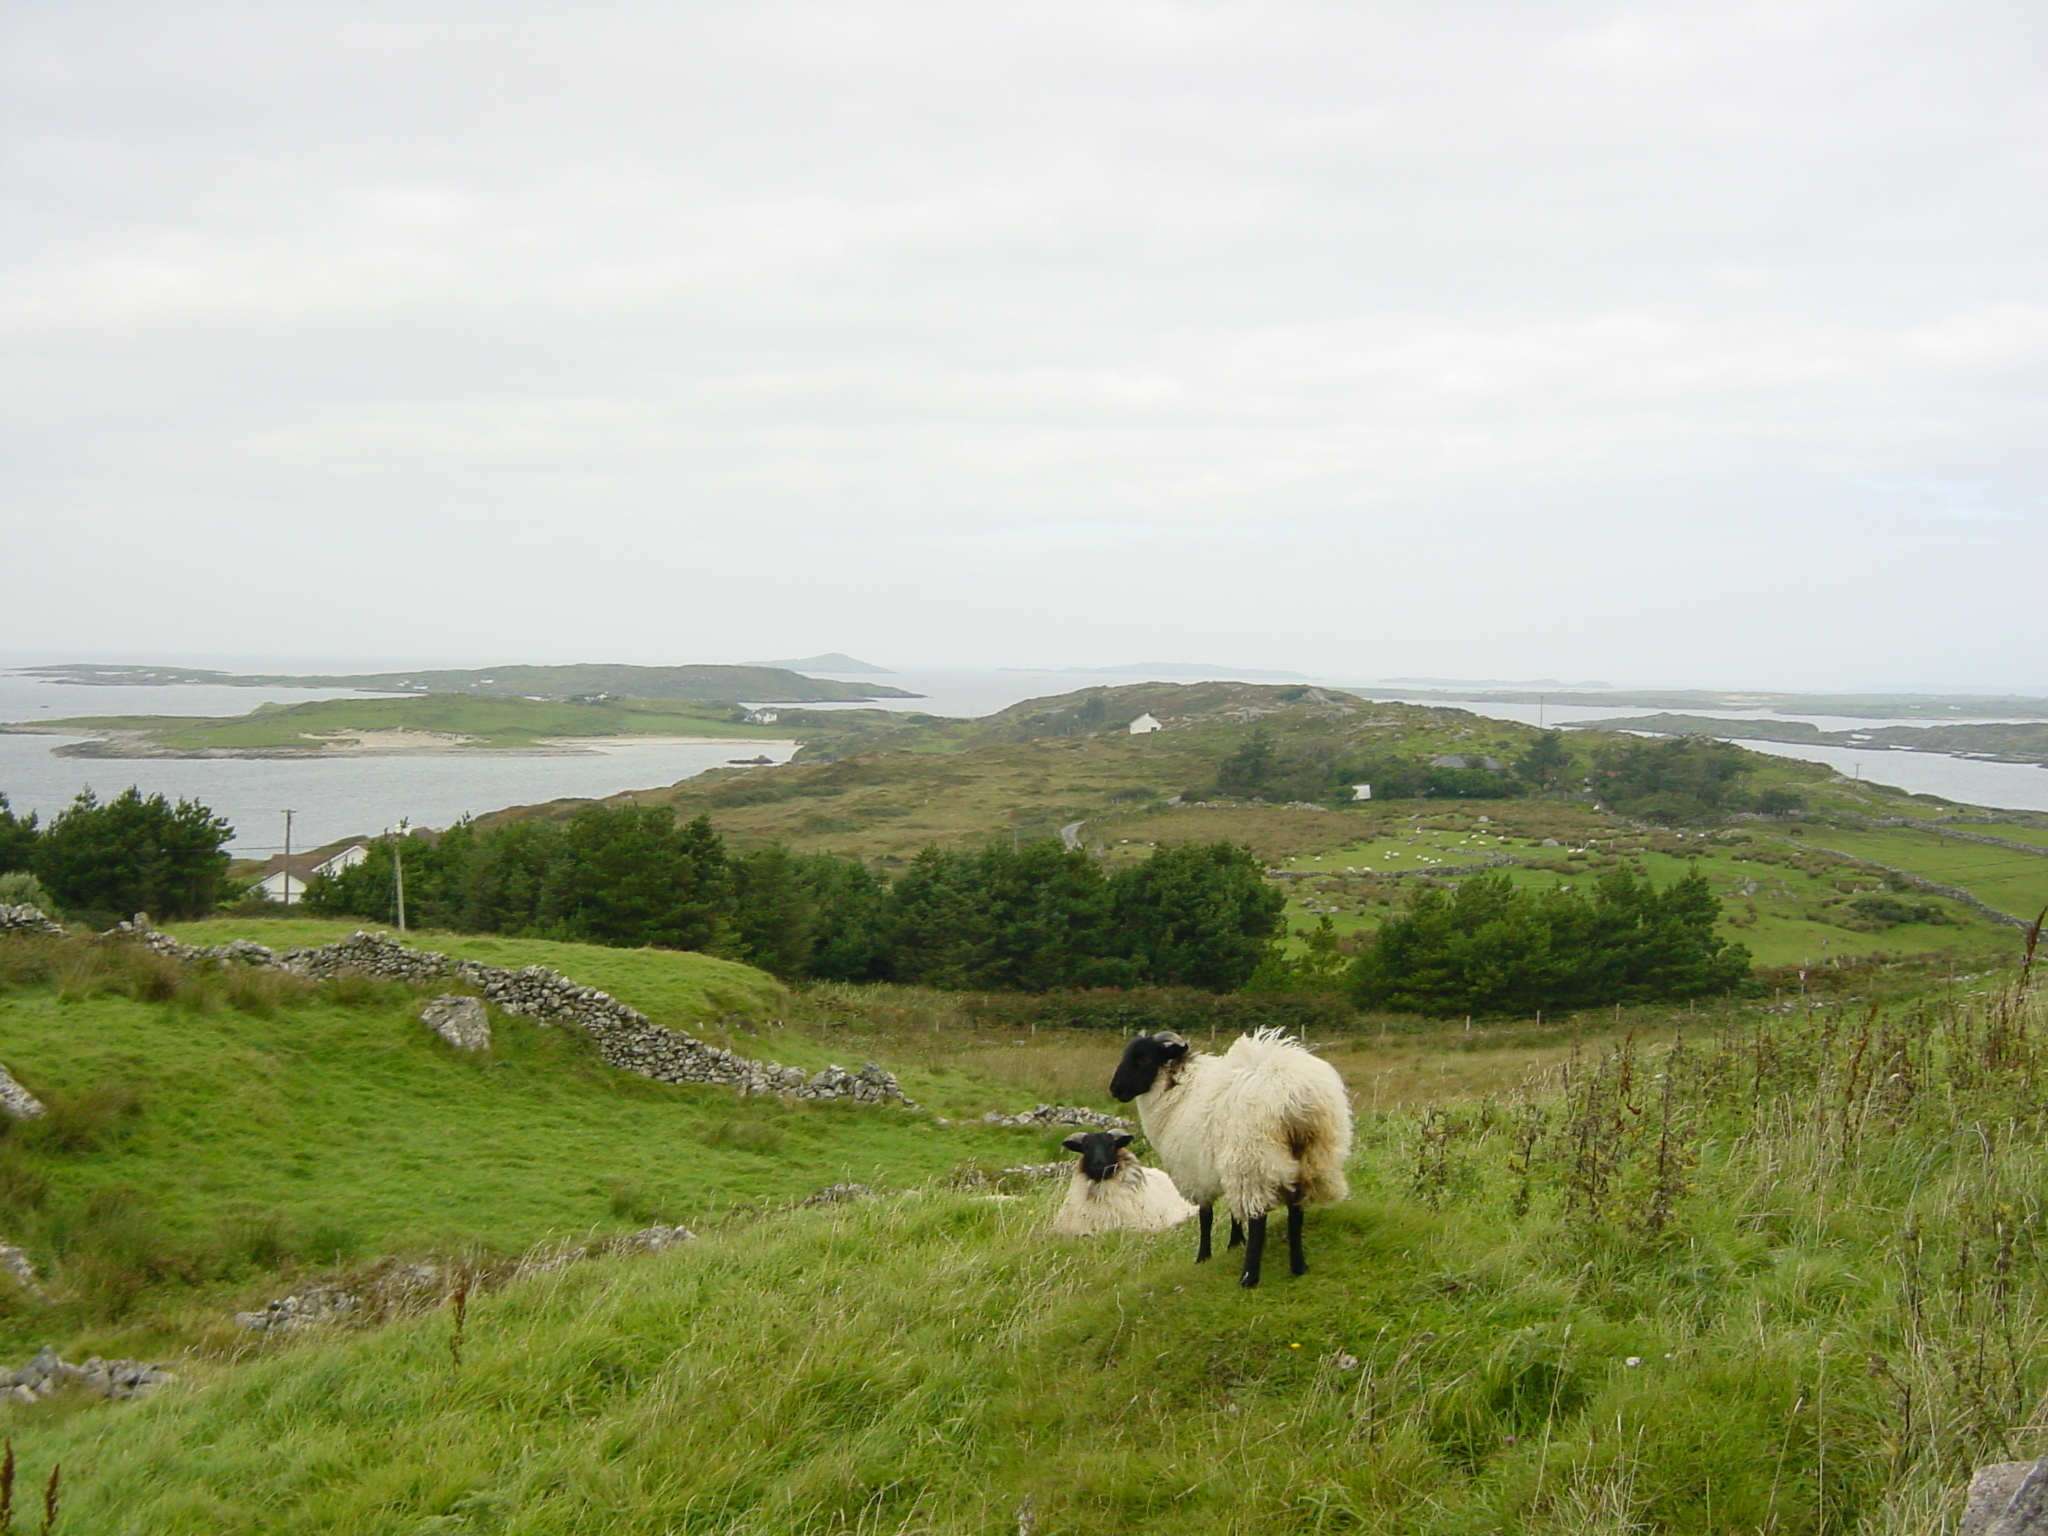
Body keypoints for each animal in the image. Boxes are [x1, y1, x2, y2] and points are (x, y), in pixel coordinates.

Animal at [1114, 1028, 1351, 1294]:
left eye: (1143, 1058)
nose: (1116, 1089)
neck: (1178, 1087)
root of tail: (1294, 1097)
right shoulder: (1223, 1167)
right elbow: (1232, 1210)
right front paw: (1235, 1243)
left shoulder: (1195, 1170)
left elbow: (1205, 1216)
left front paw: (1203, 1256)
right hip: (1310, 1158)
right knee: (1296, 1211)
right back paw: (1298, 1266)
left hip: (1253, 1159)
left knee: (1258, 1219)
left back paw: (1249, 1277)